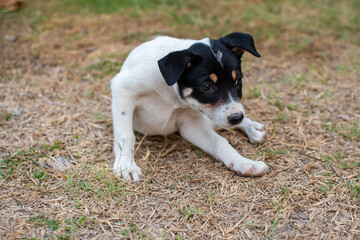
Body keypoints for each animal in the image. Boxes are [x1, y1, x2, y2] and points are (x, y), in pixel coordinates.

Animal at [111, 32, 268, 182]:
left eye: (238, 81)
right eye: (206, 86)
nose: (237, 117)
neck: (170, 89)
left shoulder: (191, 123)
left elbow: (220, 141)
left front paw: (244, 163)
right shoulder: (122, 89)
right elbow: (125, 135)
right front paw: (126, 166)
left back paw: (253, 128)